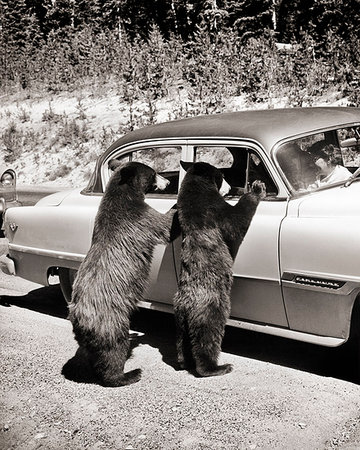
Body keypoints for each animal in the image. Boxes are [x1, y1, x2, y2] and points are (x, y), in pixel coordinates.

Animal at [66, 161, 177, 386]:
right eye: (154, 173)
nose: (169, 182)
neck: (126, 193)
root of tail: (79, 319)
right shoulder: (140, 217)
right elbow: (164, 225)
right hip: (111, 321)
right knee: (114, 349)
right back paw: (128, 374)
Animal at [173, 161, 266, 376]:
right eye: (222, 175)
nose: (230, 186)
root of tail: (186, 306)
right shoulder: (213, 210)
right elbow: (235, 222)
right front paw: (257, 188)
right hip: (211, 310)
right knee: (207, 337)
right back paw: (217, 367)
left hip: (179, 319)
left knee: (182, 342)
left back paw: (183, 363)